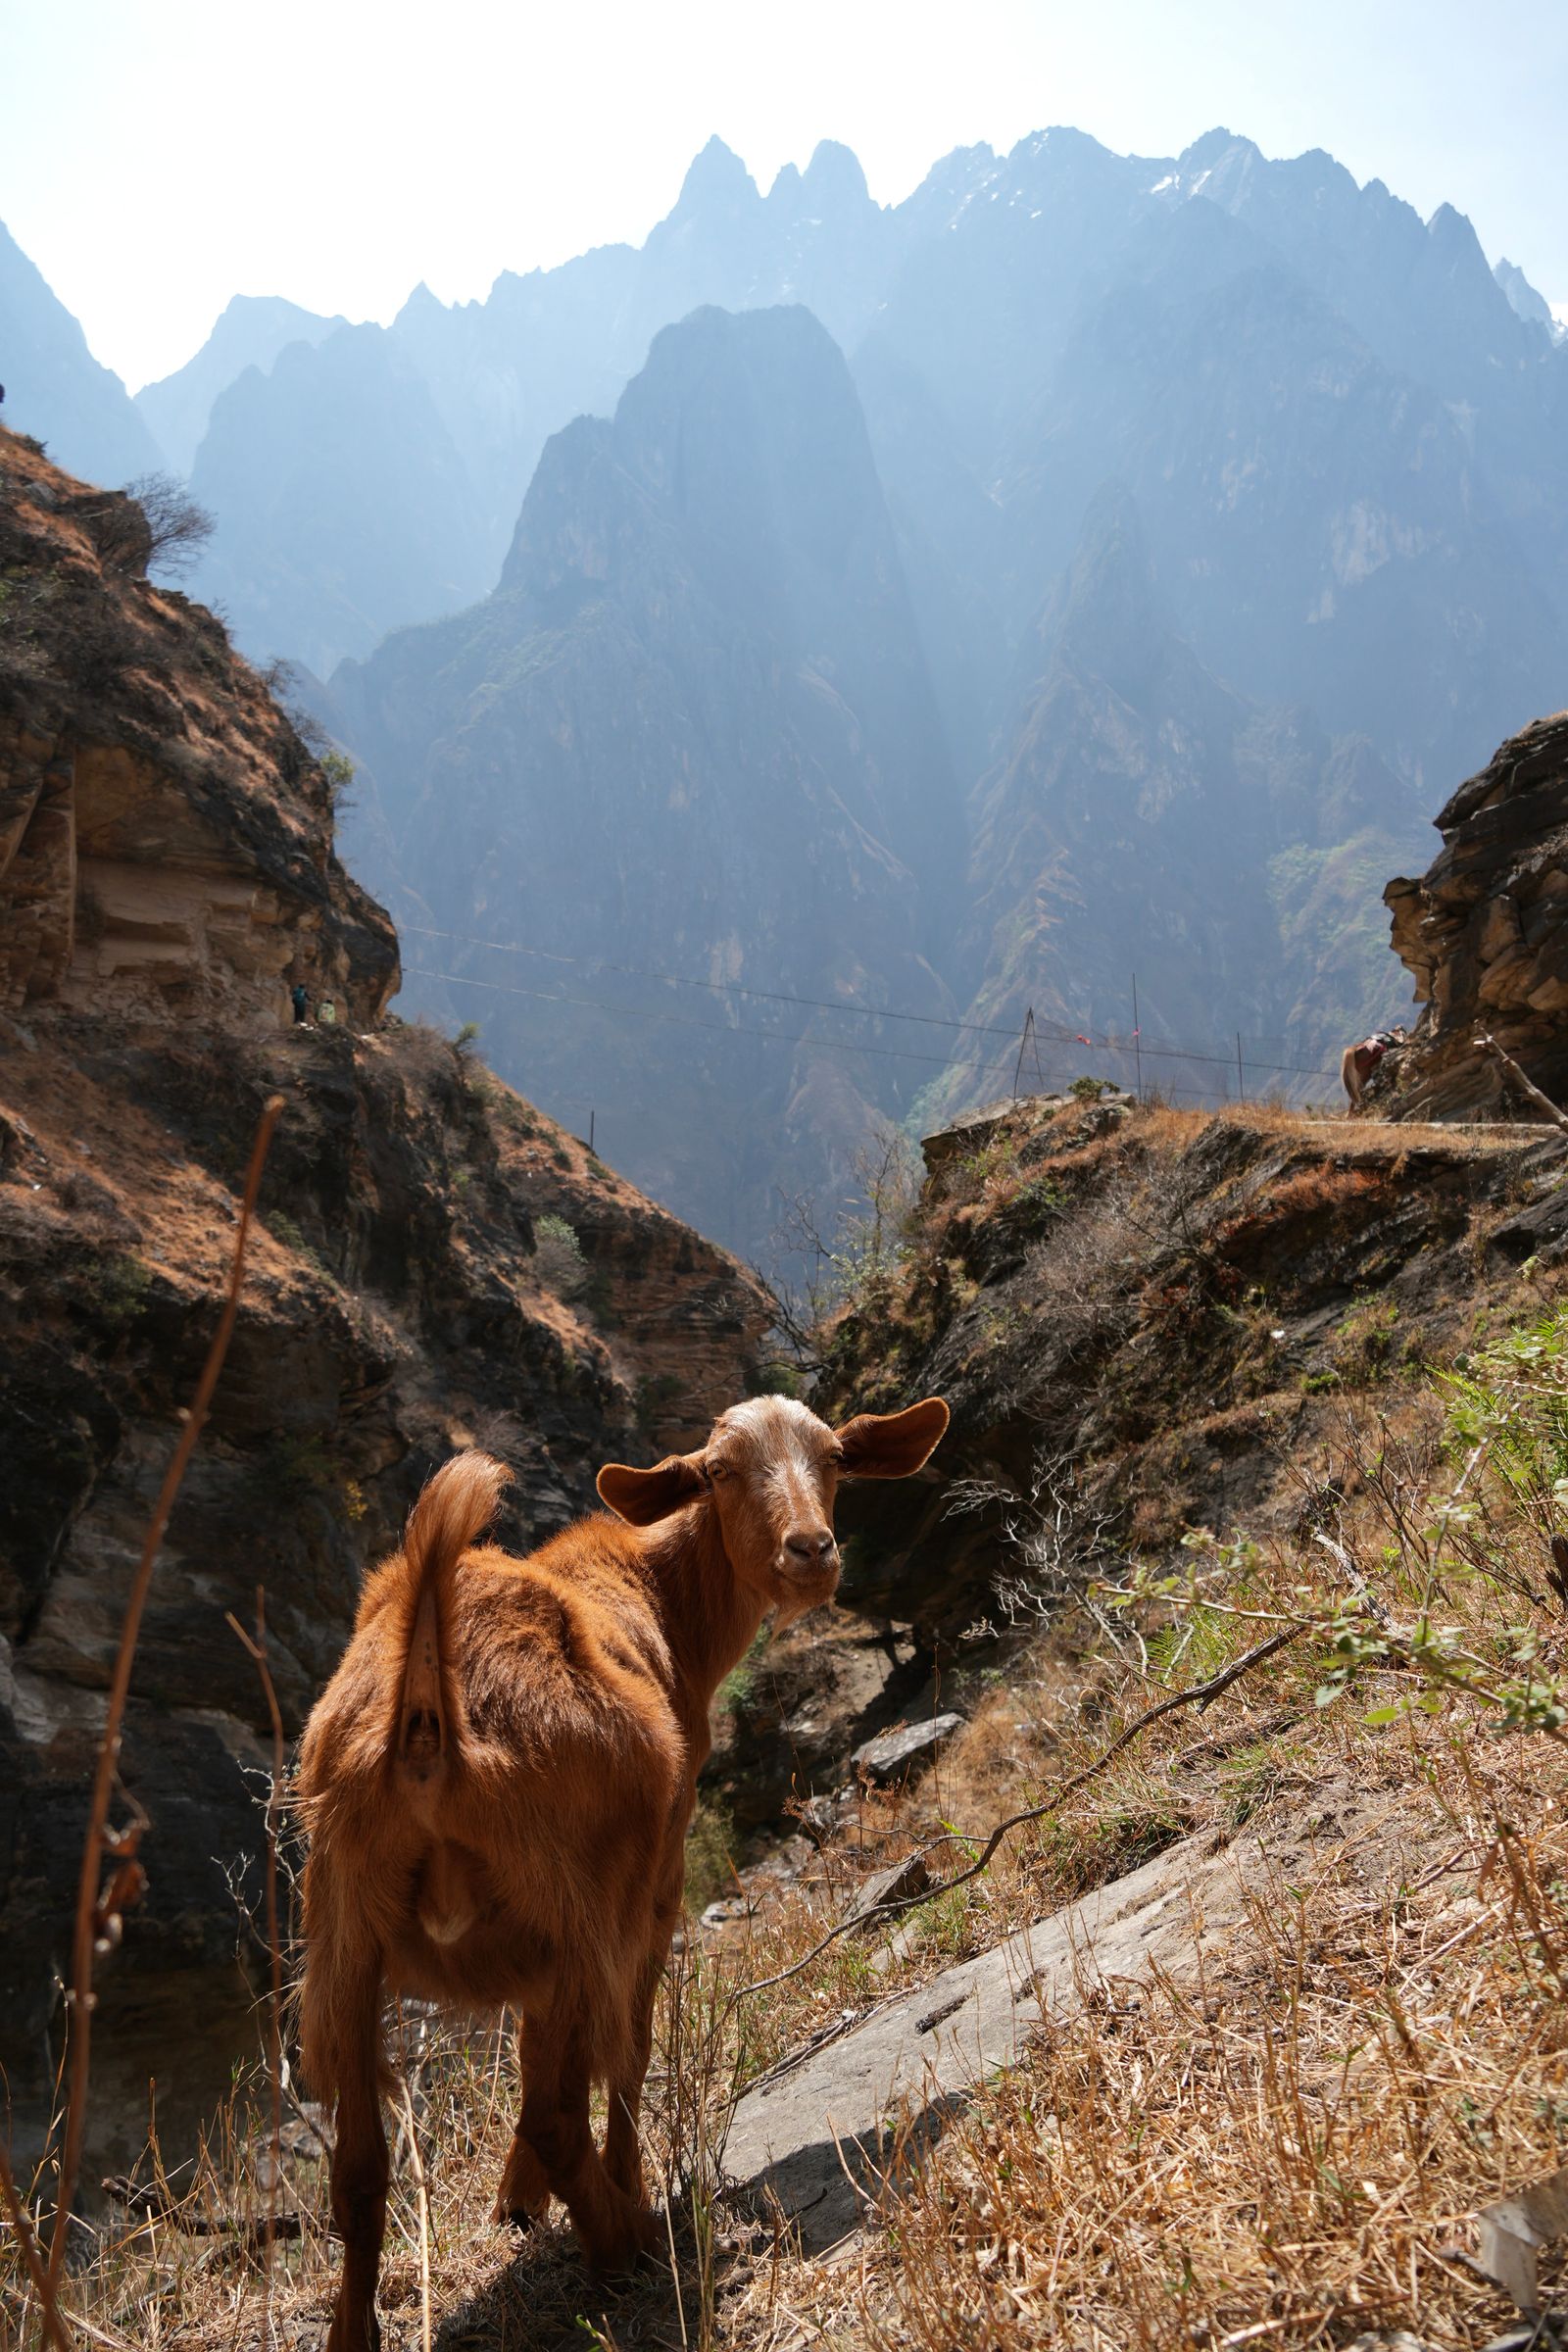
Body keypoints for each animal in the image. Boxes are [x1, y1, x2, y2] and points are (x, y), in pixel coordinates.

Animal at [296, 1390, 949, 2350]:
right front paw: (624, 2186)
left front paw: (515, 2203)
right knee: (560, 2111)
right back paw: (624, 2241)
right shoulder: (653, 1884)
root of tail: (428, 1716)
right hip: (573, 1908)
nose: (810, 1551)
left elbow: (532, 2051)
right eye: (719, 1471)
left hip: (343, 1934)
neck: (661, 1599)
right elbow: (630, 2053)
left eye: (834, 1457)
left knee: (359, 2172)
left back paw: (358, 2327)